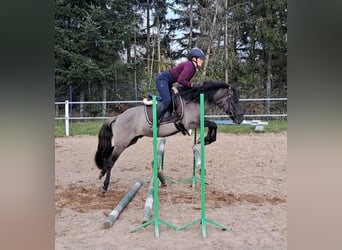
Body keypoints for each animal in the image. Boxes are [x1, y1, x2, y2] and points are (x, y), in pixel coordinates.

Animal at [94, 80, 243, 193]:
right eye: (234, 100)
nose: (240, 119)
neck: (193, 101)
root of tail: (118, 117)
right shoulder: (191, 123)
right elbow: (213, 124)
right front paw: (205, 139)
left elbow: (213, 125)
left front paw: (206, 139)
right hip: (122, 144)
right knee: (110, 161)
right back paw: (105, 186)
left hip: (130, 141)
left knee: (108, 155)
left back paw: (101, 173)